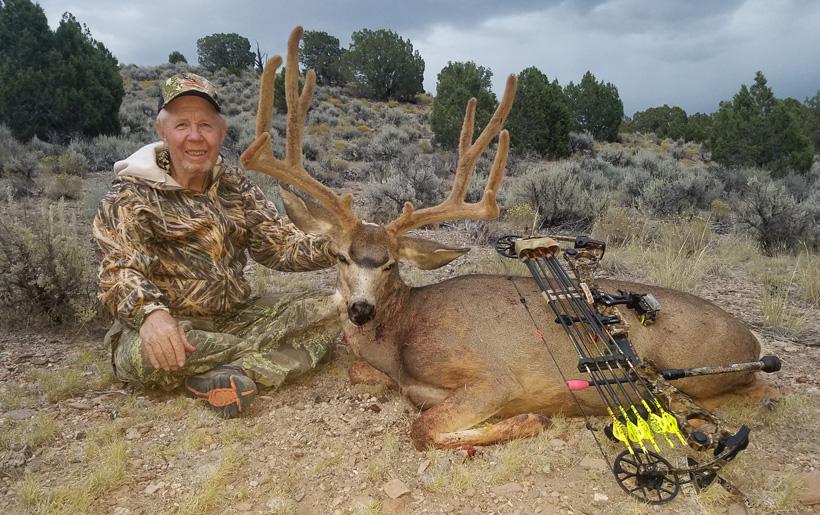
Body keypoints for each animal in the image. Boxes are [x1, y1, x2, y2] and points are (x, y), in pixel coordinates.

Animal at [241, 27, 774, 451]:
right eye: (338, 255)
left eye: (391, 262)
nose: (360, 310)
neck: (402, 337)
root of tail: (752, 338)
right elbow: (376, 383)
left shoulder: (492, 377)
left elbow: (423, 428)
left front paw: (529, 419)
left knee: (755, 389)